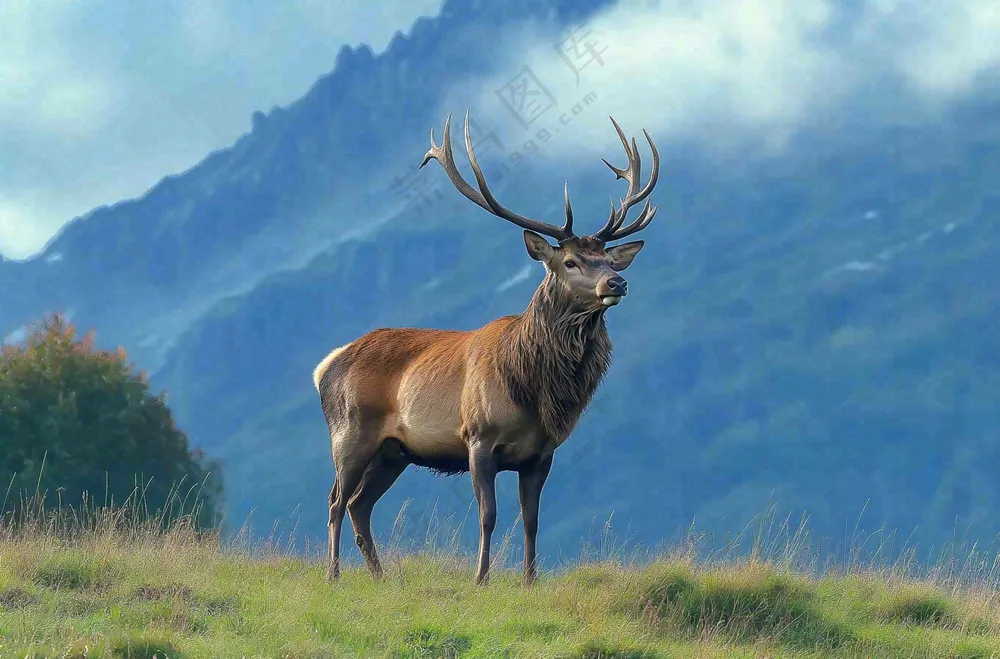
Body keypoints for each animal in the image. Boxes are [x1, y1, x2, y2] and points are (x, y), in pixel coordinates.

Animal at [313, 109, 660, 585]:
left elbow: (531, 518)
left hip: (393, 452)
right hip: (349, 432)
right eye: (570, 261)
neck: (534, 391)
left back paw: (380, 577)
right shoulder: (477, 438)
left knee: (358, 504)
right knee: (334, 500)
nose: (618, 282)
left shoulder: (542, 453)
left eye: (608, 259)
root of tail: (325, 366)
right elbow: (488, 515)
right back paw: (333, 575)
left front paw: (530, 580)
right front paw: (481, 578)